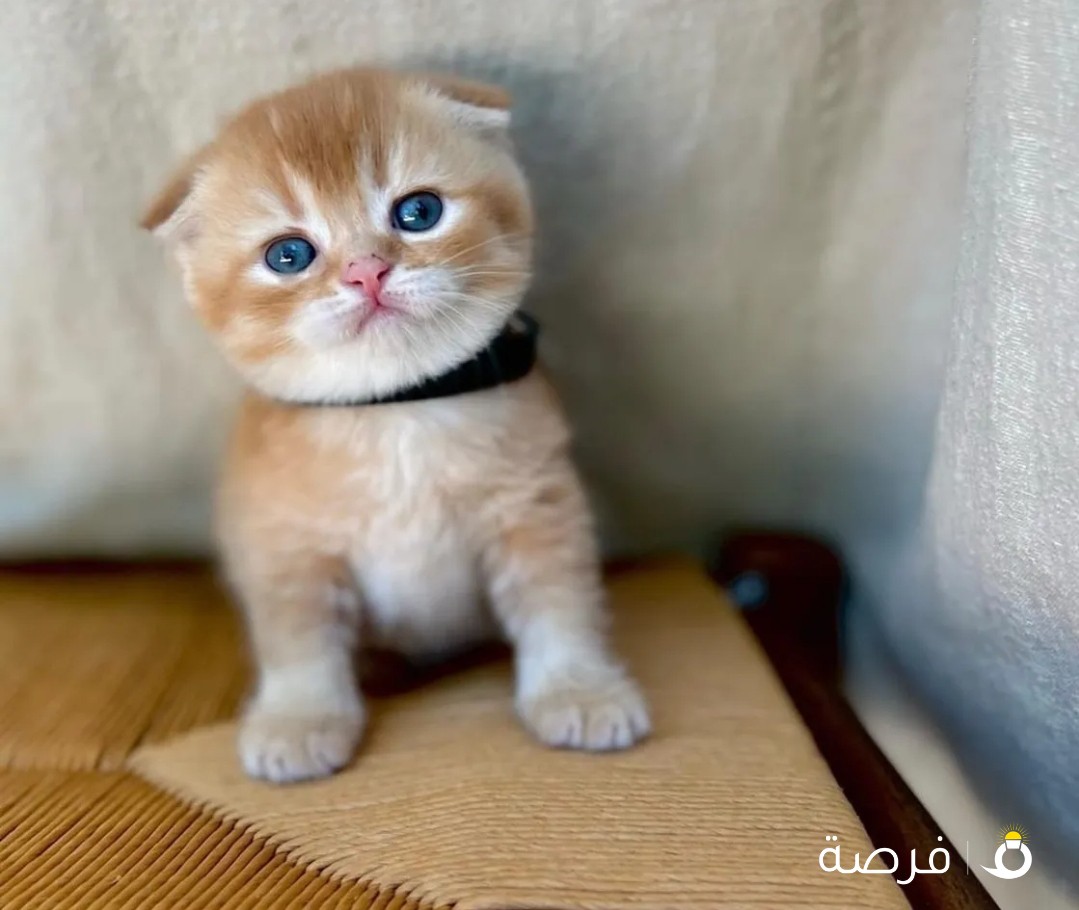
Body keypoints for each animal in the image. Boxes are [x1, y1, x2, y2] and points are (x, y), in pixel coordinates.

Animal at [142, 69, 647, 781]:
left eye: (418, 213)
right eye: (289, 255)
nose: (366, 270)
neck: (395, 413)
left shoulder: (535, 505)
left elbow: (559, 603)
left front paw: (579, 688)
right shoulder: (283, 542)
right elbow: (299, 639)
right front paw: (300, 718)